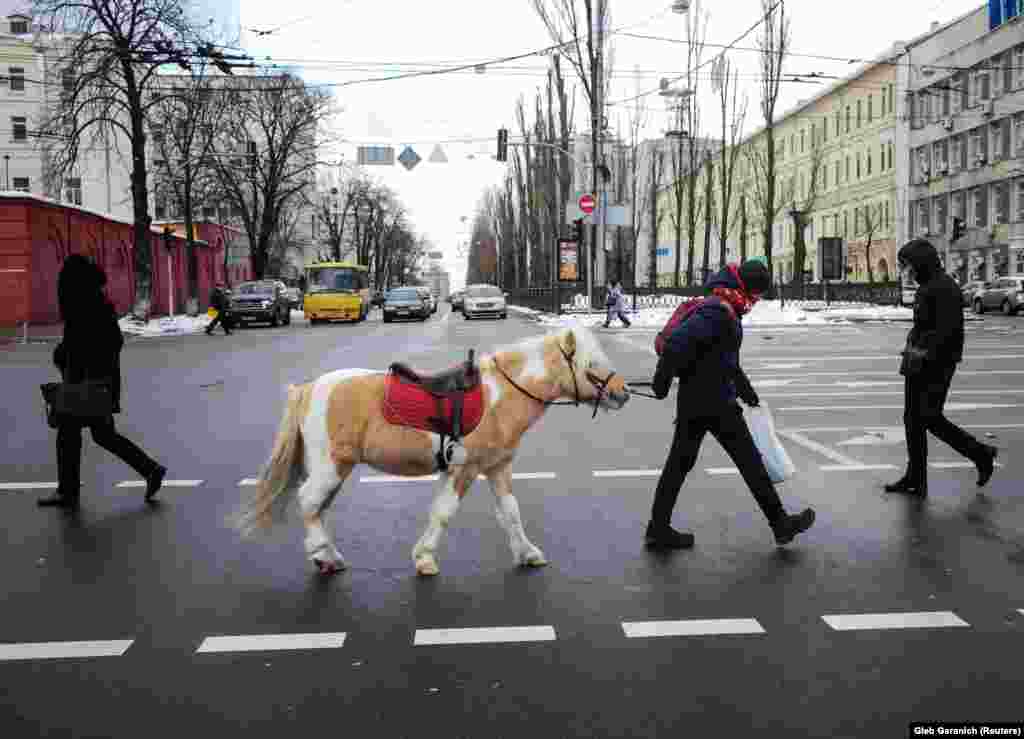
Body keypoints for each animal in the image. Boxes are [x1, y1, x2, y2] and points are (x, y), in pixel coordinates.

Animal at [235, 327, 626, 577]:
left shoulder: (497, 467)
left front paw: (528, 554)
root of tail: (307, 388)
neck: (500, 395)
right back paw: (322, 553)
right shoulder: (464, 470)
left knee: (317, 506)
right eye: (591, 363)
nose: (622, 392)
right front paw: (424, 559)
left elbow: (510, 512)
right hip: (333, 465)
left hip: (334, 469)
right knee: (309, 502)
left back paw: (327, 556)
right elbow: (443, 512)